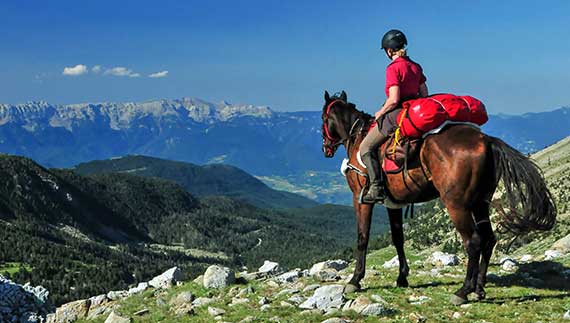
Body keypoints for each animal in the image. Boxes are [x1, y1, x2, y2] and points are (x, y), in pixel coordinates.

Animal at [320, 90, 556, 304]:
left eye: (323, 118)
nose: (325, 149)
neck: (357, 139)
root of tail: (486, 141)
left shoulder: (360, 200)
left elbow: (362, 238)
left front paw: (355, 280)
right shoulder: (393, 204)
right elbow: (398, 239)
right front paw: (402, 277)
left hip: (457, 205)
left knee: (473, 242)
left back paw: (463, 291)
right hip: (481, 202)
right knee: (488, 239)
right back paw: (479, 289)